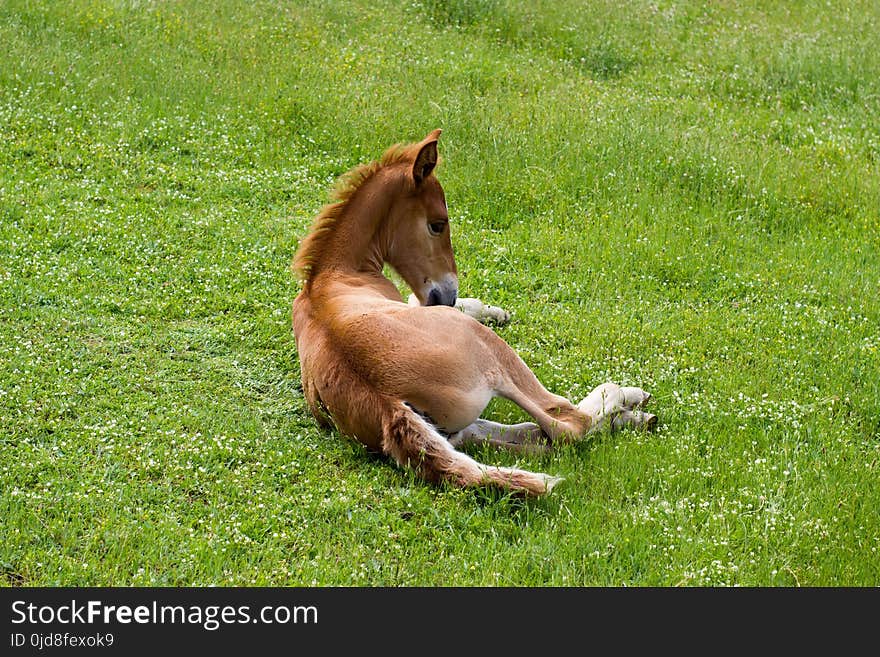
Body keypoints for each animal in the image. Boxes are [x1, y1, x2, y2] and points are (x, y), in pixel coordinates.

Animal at [292, 131, 656, 494]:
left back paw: (626, 419)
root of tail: (386, 403)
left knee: (515, 436)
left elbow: (416, 299)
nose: (448, 292)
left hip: (454, 424)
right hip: (491, 351)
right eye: (438, 224)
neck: (333, 275)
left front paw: (493, 310)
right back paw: (628, 398)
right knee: (564, 425)